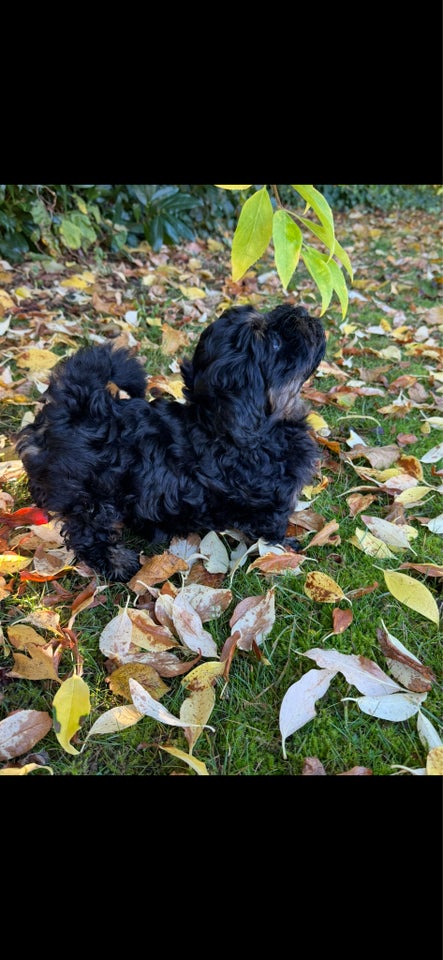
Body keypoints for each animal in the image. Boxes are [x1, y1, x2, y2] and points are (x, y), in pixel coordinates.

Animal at [16, 304, 326, 580]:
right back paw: (117, 563)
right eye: (275, 344)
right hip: (92, 494)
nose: (301, 312)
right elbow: (272, 527)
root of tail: (76, 406)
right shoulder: (271, 501)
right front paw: (286, 548)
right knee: (88, 532)